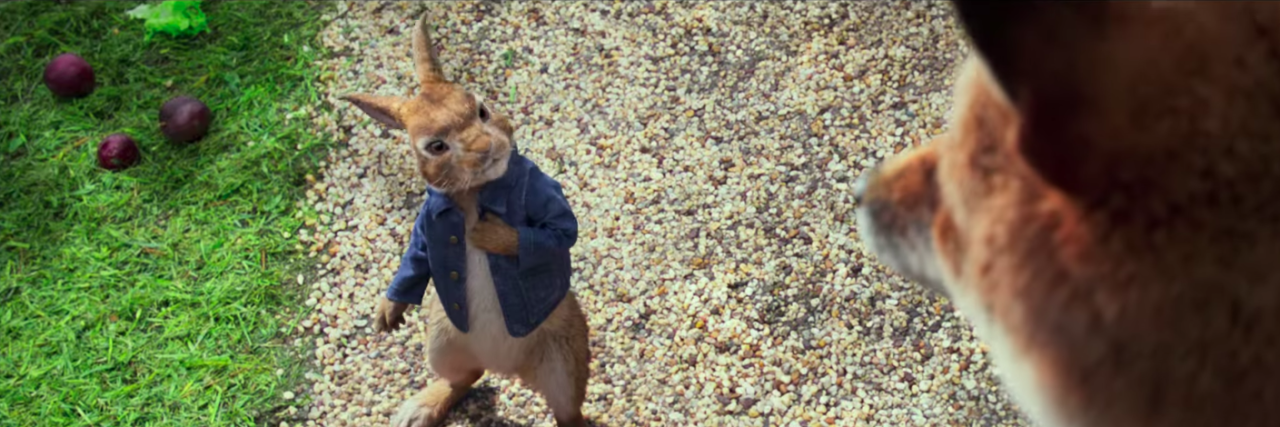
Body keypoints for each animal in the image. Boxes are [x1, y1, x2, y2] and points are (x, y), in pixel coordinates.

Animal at [339, 12, 590, 427]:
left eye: (482, 110)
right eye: (436, 146)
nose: (485, 147)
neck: (474, 193)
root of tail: (509, 368)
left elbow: (558, 232)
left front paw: (487, 234)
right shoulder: (426, 228)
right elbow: (415, 259)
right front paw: (388, 315)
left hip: (563, 361)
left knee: (566, 409)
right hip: (444, 343)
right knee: (468, 376)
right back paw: (418, 410)